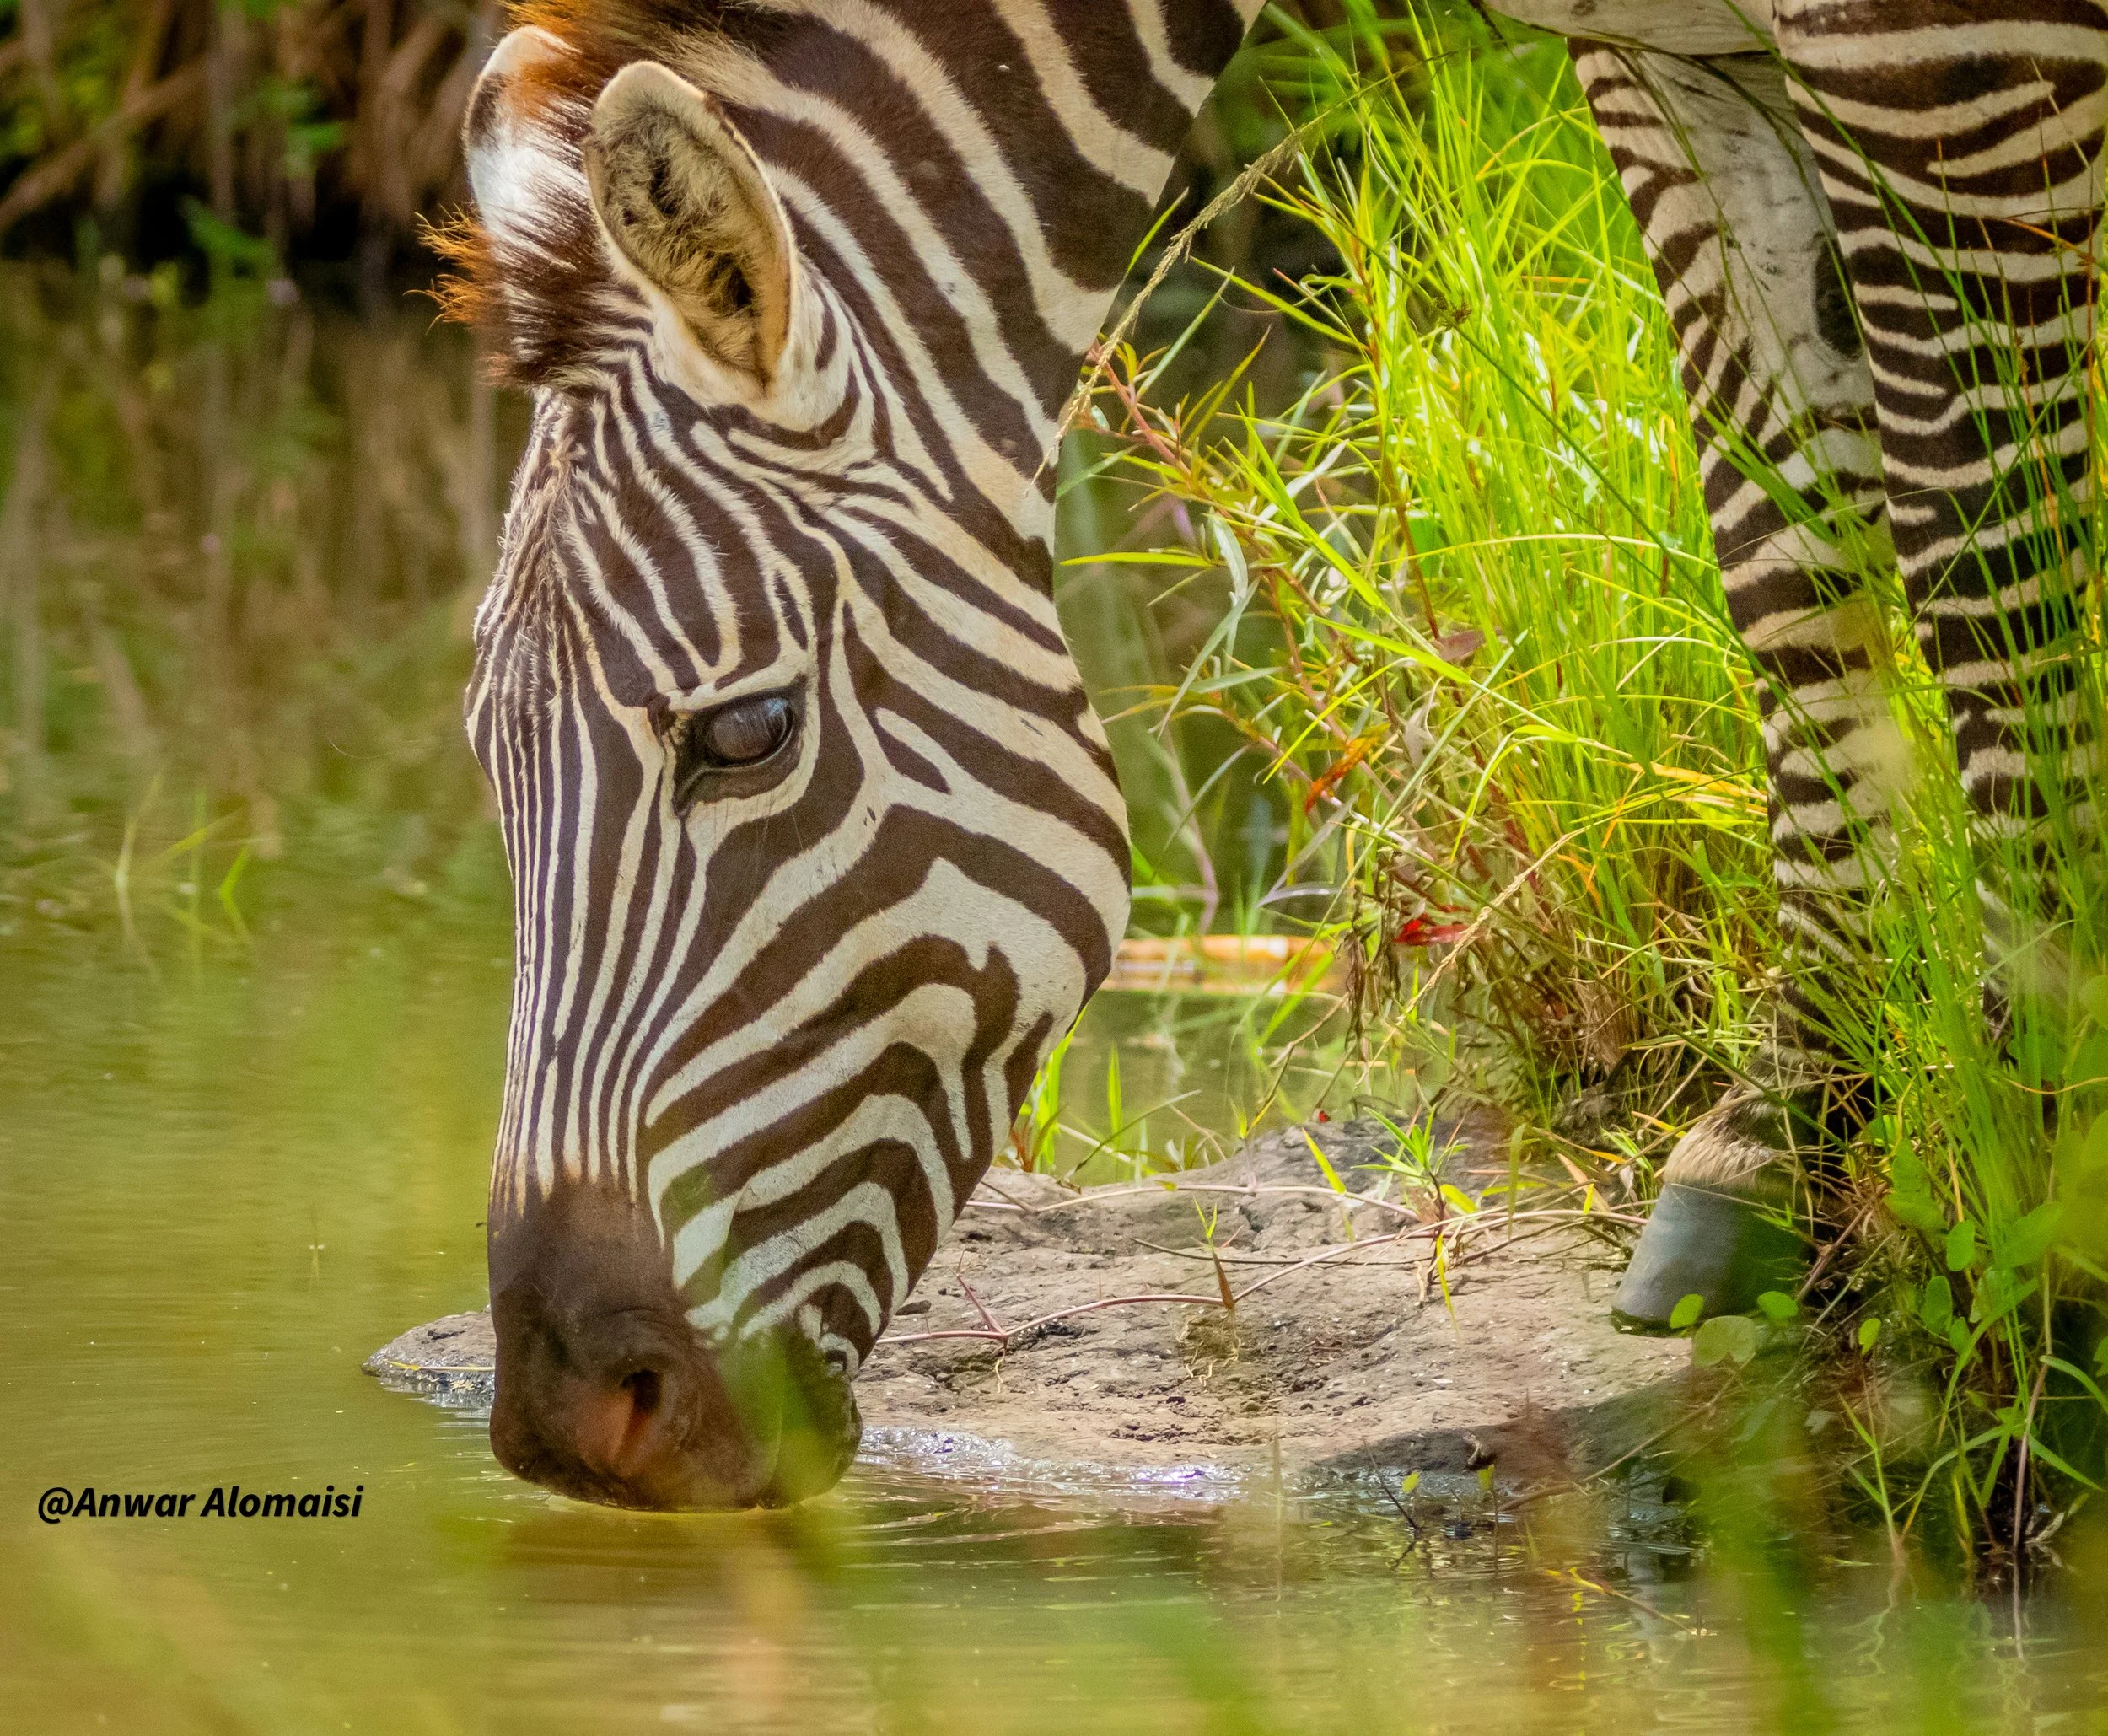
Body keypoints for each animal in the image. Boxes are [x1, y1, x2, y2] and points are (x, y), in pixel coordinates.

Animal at [446, 0, 2101, 1508]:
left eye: (747, 733)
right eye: (485, 761)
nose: (572, 1418)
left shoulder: (1930, 53)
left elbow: (1994, 546)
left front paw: (2052, 1178)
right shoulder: (1669, 62)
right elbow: (1785, 539)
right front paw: (1781, 1132)